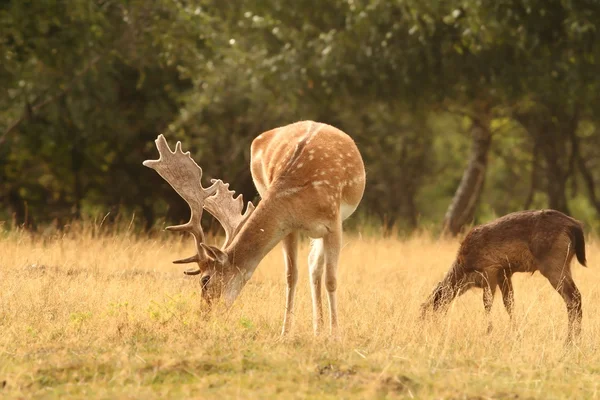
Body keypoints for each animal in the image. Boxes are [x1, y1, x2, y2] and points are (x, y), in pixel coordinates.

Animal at [422, 208, 584, 342]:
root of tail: (575, 225)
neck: (465, 271)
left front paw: (488, 331)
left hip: (552, 263)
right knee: (575, 296)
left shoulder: (490, 268)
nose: (425, 328)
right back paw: (575, 338)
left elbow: (487, 302)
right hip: (565, 264)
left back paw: (570, 340)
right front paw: (515, 331)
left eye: (429, 309)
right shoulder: (505, 273)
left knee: (573, 296)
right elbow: (509, 302)